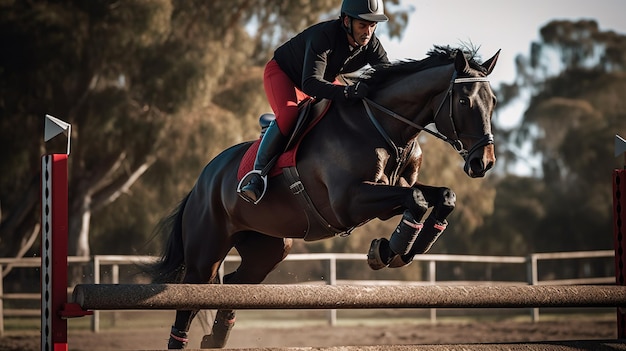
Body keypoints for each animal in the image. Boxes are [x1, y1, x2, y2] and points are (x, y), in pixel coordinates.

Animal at [149, 46, 500, 350]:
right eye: (465, 101)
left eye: (494, 101)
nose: (483, 162)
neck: (386, 128)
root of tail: (202, 180)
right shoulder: (351, 202)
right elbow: (417, 199)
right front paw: (389, 251)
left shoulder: (388, 196)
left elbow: (442, 196)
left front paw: (403, 248)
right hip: (206, 253)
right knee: (191, 297)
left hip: (269, 247)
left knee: (236, 283)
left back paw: (217, 337)